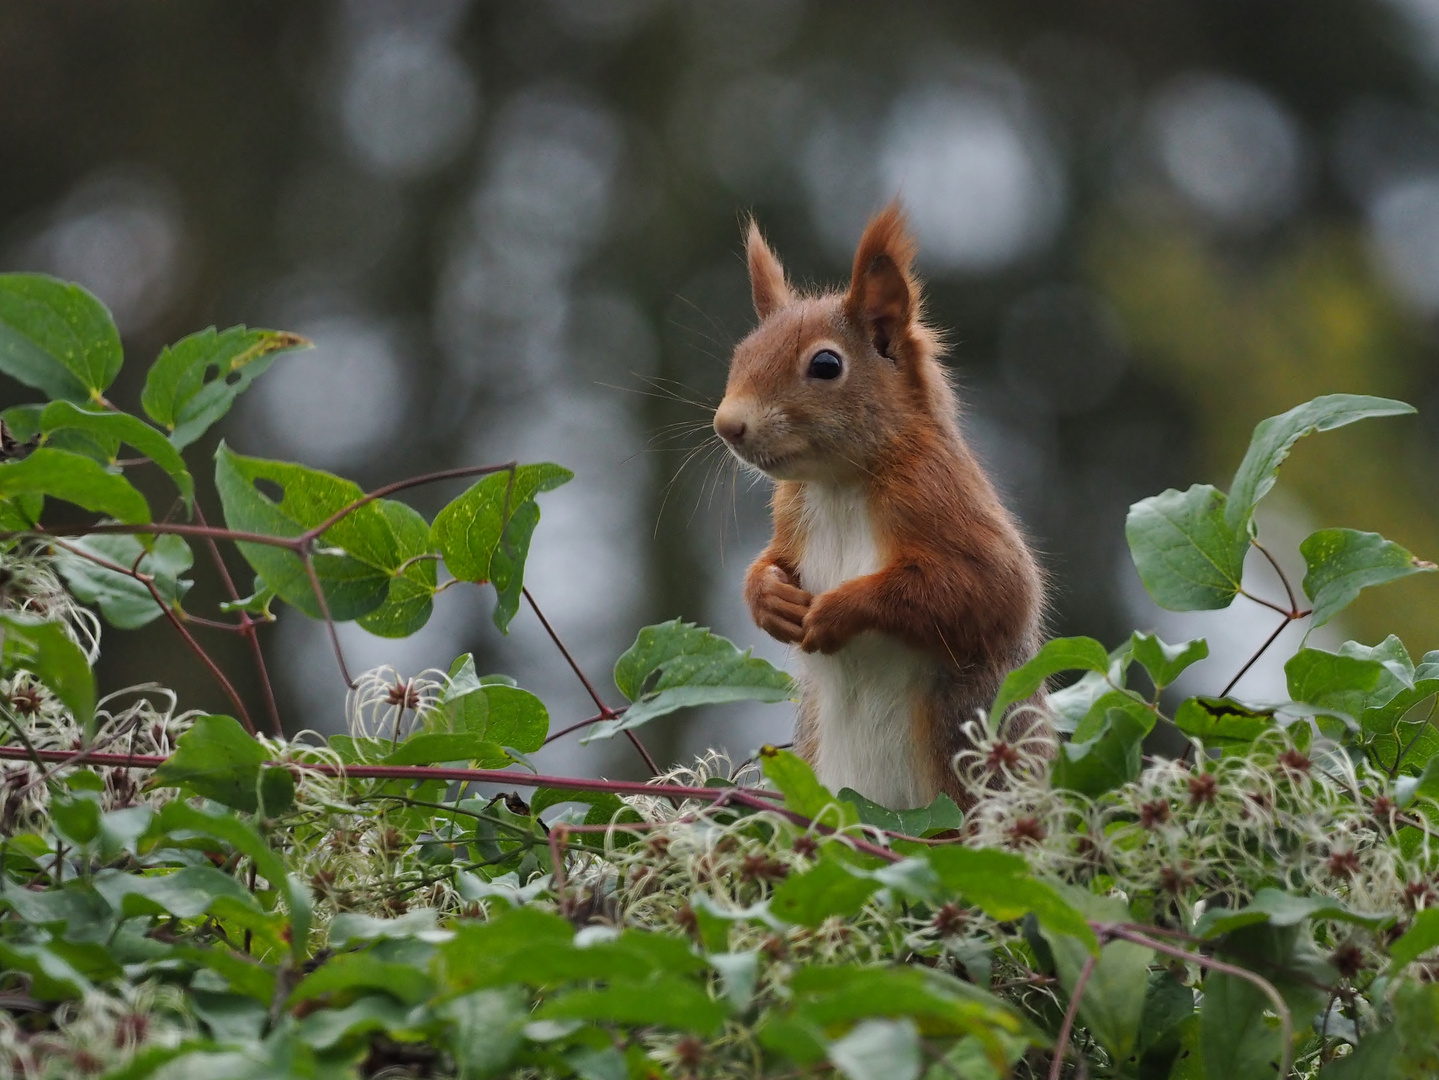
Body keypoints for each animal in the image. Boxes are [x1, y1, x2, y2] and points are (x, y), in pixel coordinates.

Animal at [716, 202, 1047, 811]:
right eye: (741, 354)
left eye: (826, 364)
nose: (728, 425)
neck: (839, 483)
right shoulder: (791, 515)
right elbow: (772, 561)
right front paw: (769, 597)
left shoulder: (939, 494)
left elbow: (988, 589)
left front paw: (837, 610)